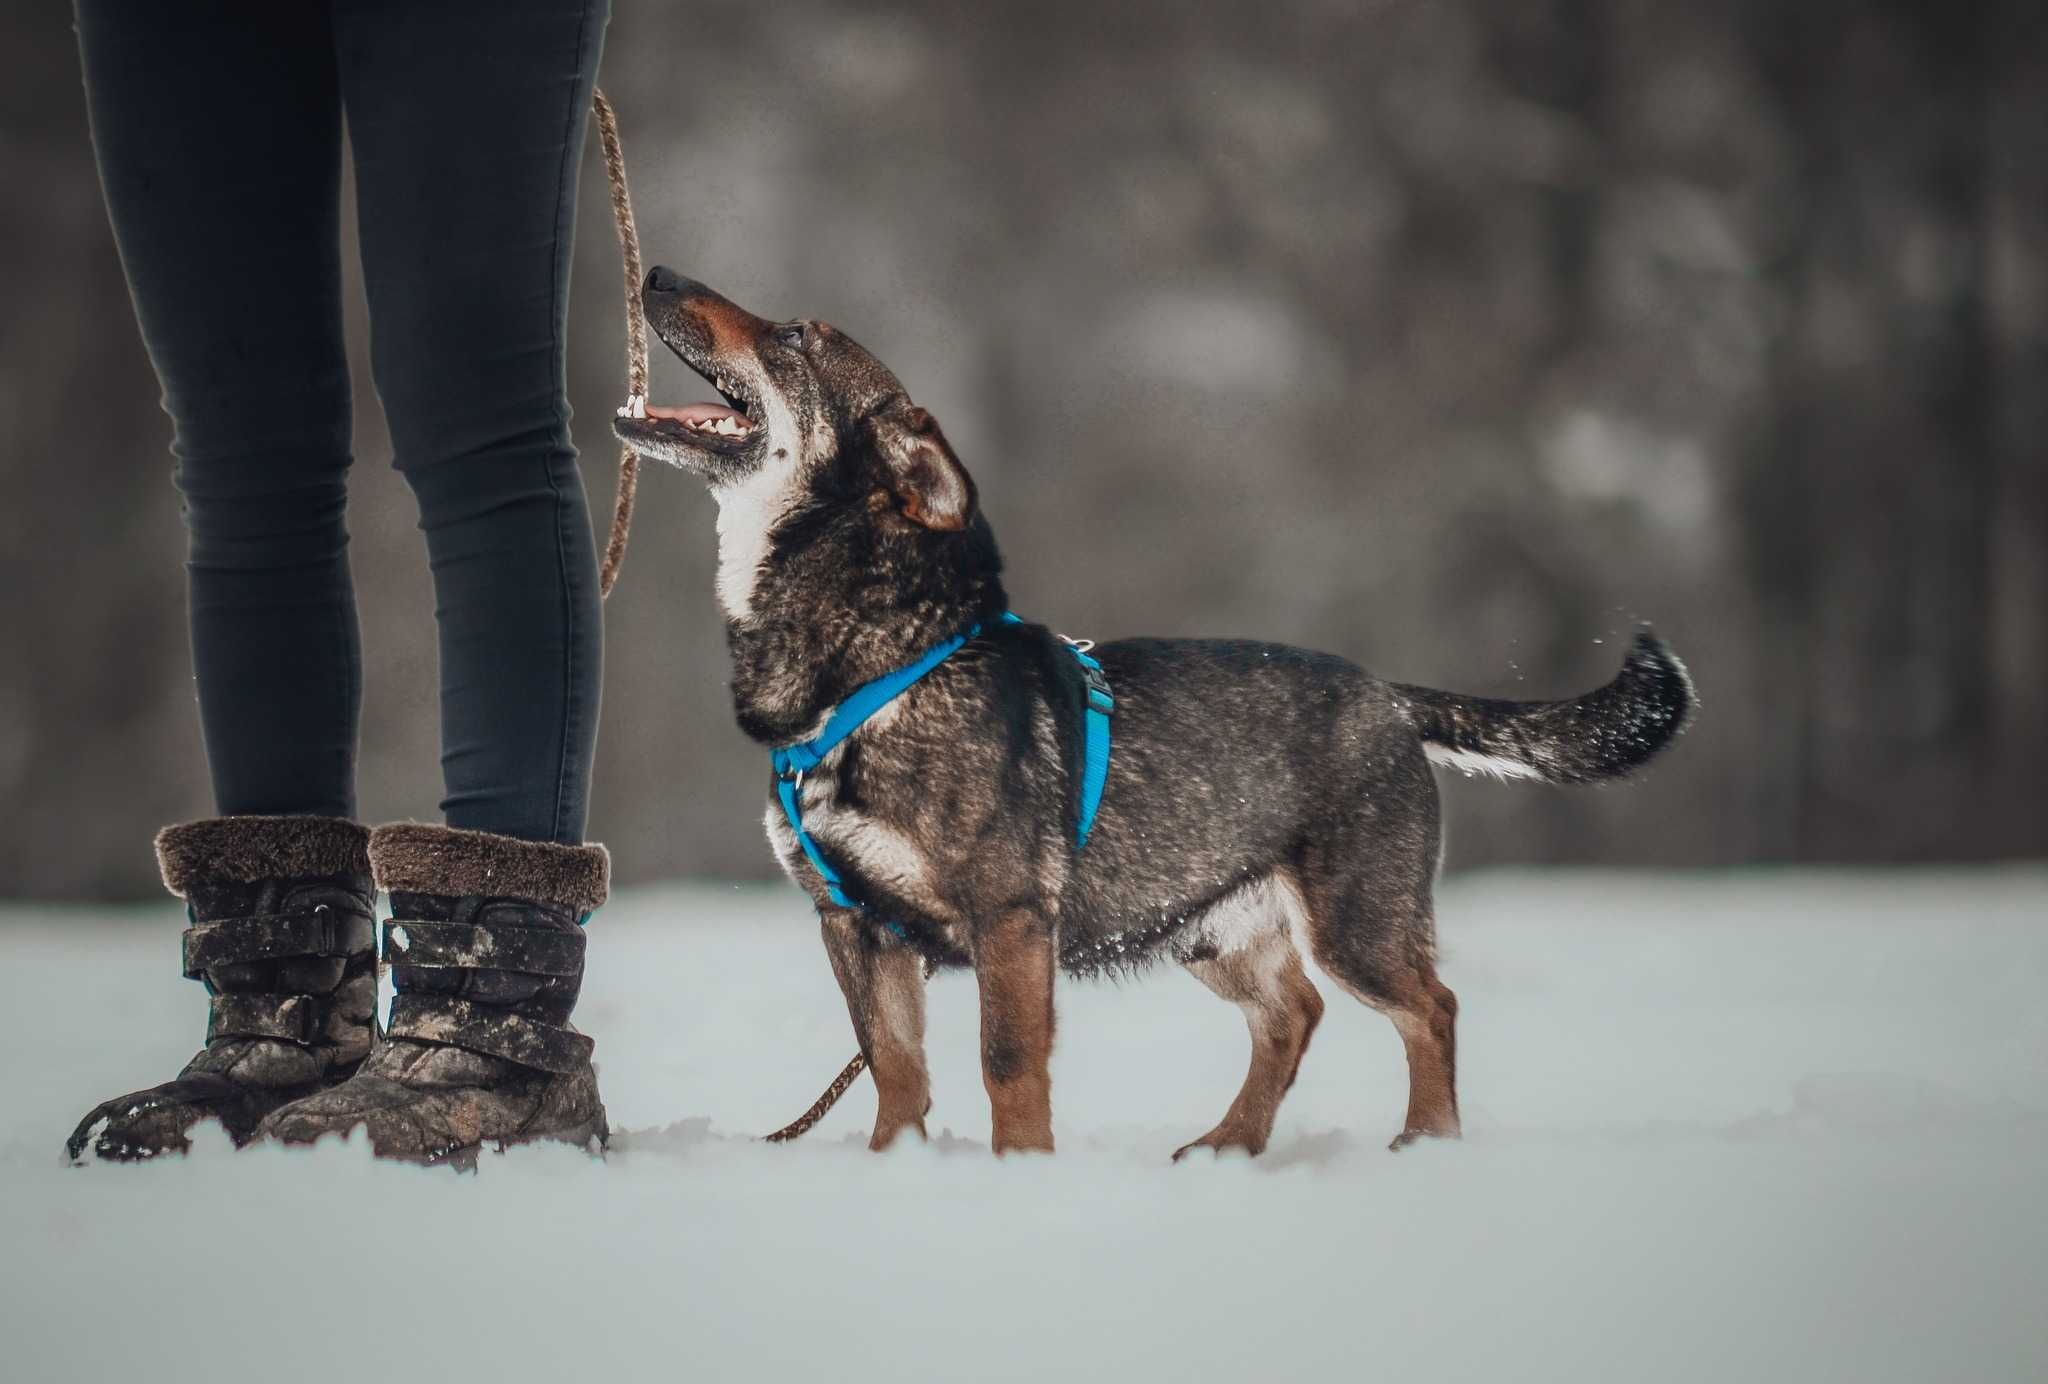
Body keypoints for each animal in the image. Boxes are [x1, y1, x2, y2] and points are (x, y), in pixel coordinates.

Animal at [610, 270, 1695, 1154]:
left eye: (795, 334)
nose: (655, 272)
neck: (870, 673)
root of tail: (1387, 694)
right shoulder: (853, 924)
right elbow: (895, 1071)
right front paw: (898, 1172)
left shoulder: (1008, 917)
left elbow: (1007, 1065)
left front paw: (1018, 1176)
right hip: (1200, 924)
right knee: (1293, 1014)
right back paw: (1229, 1144)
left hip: (1356, 918)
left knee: (1430, 1006)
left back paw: (1424, 1141)